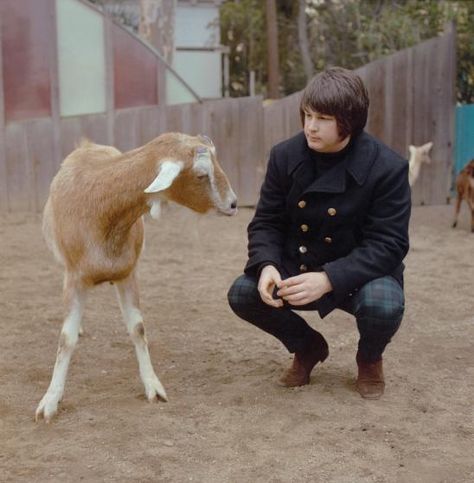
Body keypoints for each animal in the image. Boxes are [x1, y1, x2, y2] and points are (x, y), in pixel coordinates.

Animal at [35, 133, 239, 424]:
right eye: (201, 174)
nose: (233, 204)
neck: (100, 207)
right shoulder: (74, 279)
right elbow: (66, 338)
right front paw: (50, 401)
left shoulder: (127, 274)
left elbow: (138, 329)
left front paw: (153, 386)